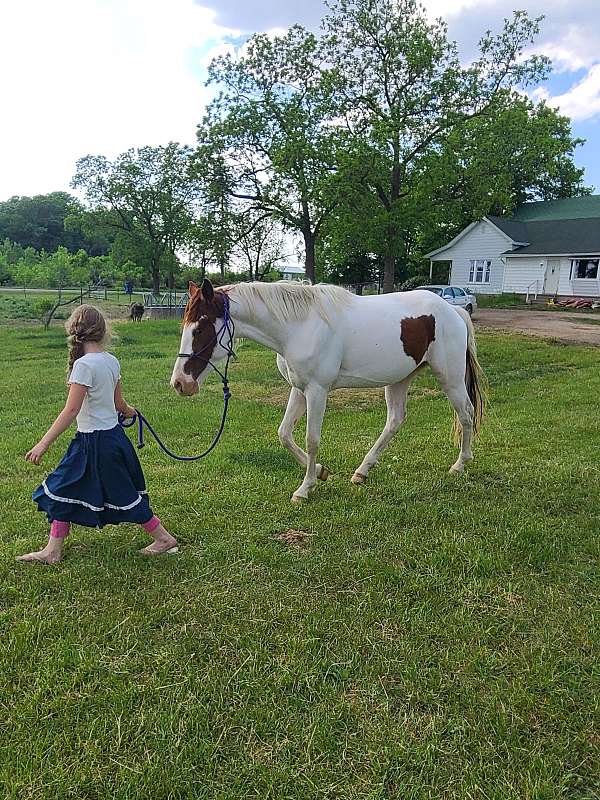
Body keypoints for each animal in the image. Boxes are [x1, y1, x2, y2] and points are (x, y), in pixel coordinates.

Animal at [170, 280, 488, 500]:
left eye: (200, 328)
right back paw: (362, 471)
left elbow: (311, 439)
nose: (180, 383)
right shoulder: (298, 389)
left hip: (449, 378)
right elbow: (284, 434)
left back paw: (460, 465)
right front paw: (321, 472)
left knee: (466, 414)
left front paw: (305, 488)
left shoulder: (317, 391)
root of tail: (453, 311)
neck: (298, 326)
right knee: (395, 421)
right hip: (399, 379)